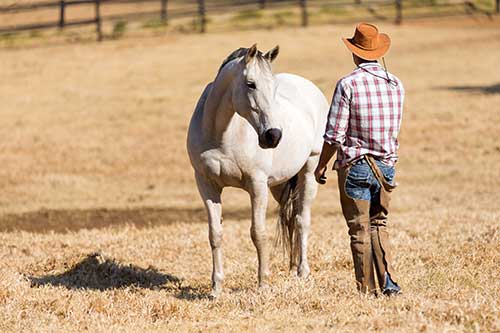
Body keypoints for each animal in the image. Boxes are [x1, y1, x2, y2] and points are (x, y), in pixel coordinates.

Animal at [186, 44, 330, 296]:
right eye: (250, 84)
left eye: (274, 86)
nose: (273, 136)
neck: (221, 135)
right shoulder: (206, 185)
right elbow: (215, 234)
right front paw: (216, 288)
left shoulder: (257, 185)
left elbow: (258, 234)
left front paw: (263, 284)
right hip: (280, 185)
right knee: (290, 220)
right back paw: (292, 267)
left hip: (309, 173)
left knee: (302, 220)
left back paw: (302, 271)